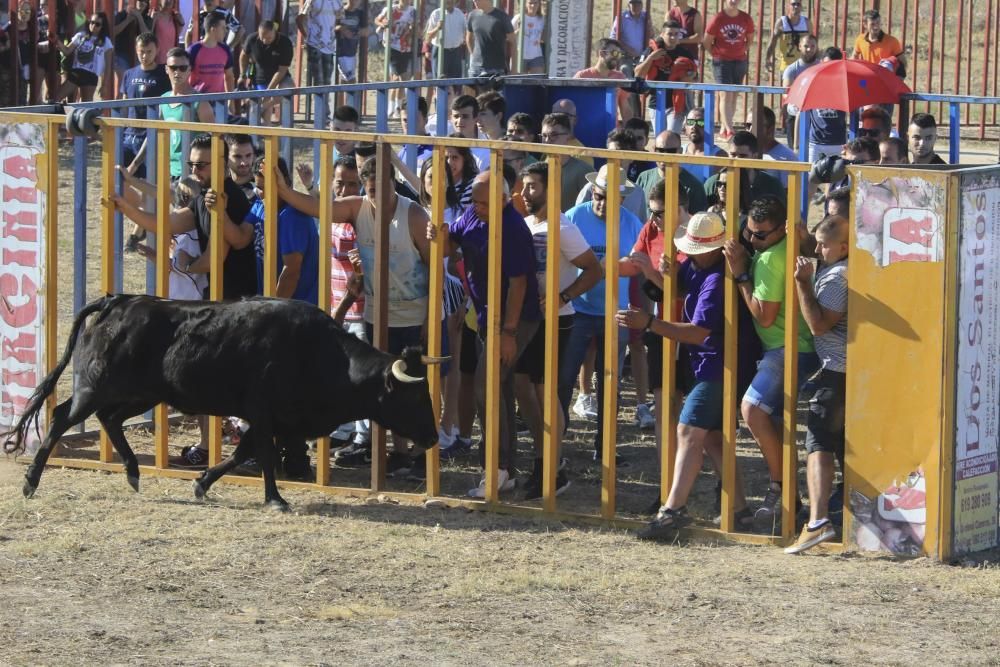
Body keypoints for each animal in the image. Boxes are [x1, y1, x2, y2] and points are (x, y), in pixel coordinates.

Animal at [3, 294, 442, 508]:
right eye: (414, 395)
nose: (434, 438)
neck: (321, 353)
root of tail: (117, 302)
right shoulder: (264, 414)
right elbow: (262, 454)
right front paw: (275, 499)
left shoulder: (272, 420)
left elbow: (243, 452)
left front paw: (202, 484)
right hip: (94, 387)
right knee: (62, 417)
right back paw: (30, 481)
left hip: (142, 394)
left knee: (110, 419)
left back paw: (132, 472)